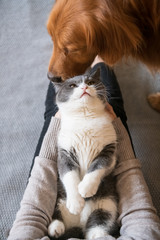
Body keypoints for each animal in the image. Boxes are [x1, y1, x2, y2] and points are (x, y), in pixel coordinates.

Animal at [48, 68, 118, 240]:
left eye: (91, 82)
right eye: (72, 85)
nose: (85, 87)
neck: (85, 118)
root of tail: (79, 223)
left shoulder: (109, 151)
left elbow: (97, 167)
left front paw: (86, 188)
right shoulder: (64, 154)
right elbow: (70, 176)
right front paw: (76, 201)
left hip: (106, 205)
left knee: (98, 226)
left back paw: (101, 235)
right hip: (58, 199)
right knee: (56, 215)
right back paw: (56, 227)